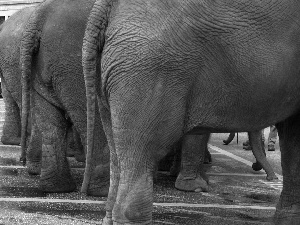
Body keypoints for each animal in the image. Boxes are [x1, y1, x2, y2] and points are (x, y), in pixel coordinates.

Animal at [19, 0, 109, 196]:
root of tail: (39, 17)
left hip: (46, 69)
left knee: (51, 124)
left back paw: (56, 188)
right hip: (74, 67)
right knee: (93, 119)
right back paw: (101, 191)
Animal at [82, 0, 300, 224]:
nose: (270, 177)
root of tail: (106, 6)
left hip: (115, 73)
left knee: (117, 159)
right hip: (147, 69)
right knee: (142, 157)